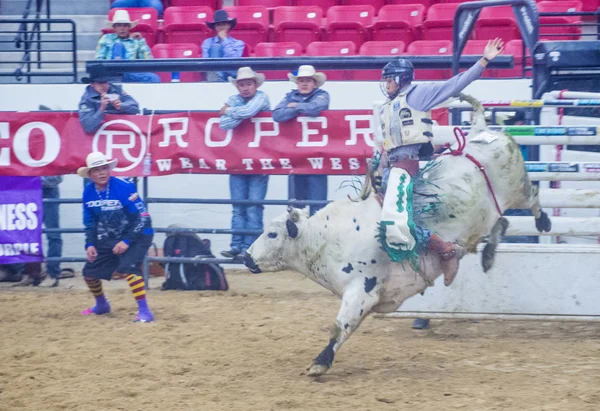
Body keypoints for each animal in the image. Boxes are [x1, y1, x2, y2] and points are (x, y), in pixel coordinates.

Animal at [241, 95, 552, 378]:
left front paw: (320, 363)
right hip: (492, 213)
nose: (245, 257)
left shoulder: (361, 291)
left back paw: (543, 221)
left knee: (533, 197)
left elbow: (340, 327)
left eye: (271, 234)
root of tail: (479, 130)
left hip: (518, 187)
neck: (324, 238)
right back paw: (487, 256)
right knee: (503, 221)